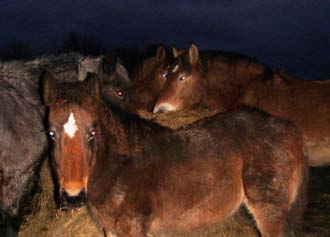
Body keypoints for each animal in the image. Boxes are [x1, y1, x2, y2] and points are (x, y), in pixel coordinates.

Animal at [42, 71, 308, 236]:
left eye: (93, 132)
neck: (119, 167)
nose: (73, 196)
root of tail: (289, 129)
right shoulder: (111, 230)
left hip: (269, 211)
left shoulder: (132, 228)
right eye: (51, 133)